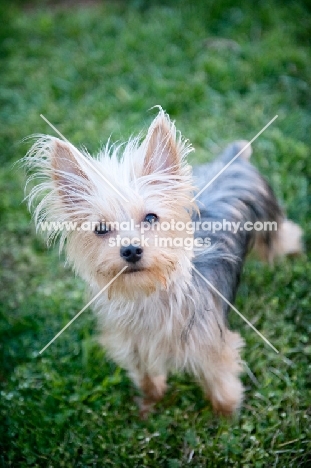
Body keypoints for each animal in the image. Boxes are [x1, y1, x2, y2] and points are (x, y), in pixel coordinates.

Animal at [23, 109, 304, 416]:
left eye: (150, 218)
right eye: (100, 229)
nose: (131, 250)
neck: (149, 292)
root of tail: (234, 159)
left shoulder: (210, 344)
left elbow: (221, 383)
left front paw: (227, 416)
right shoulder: (134, 347)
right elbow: (147, 378)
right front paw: (149, 404)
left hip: (270, 230)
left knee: (287, 237)